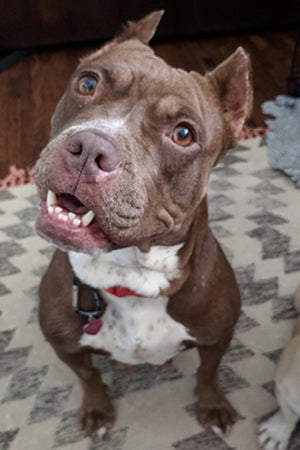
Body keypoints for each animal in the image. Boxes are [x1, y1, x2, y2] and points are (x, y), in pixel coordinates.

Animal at [34, 9, 252, 442]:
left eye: (183, 134)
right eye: (87, 83)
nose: (90, 148)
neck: (131, 276)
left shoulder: (218, 336)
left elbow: (208, 373)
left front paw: (213, 406)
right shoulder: (65, 345)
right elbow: (88, 377)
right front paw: (97, 411)